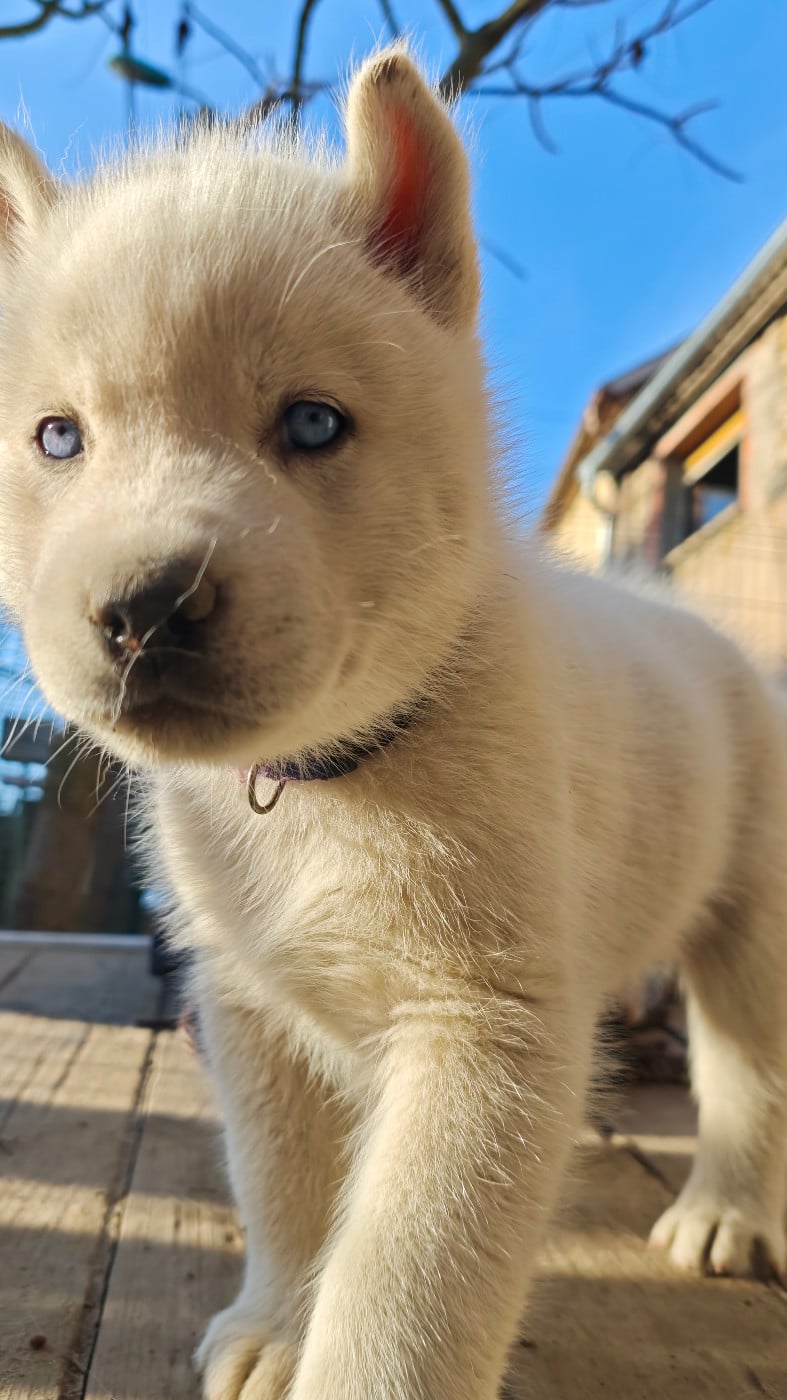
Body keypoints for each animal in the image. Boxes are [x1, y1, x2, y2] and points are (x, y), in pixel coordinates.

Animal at [0, 48, 785, 1400]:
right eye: (59, 435)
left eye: (313, 423)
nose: (147, 609)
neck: (324, 783)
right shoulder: (246, 1000)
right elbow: (285, 1186)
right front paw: (275, 1322)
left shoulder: (486, 1031)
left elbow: (409, 1280)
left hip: (753, 911)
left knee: (746, 1064)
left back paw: (725, 1212)